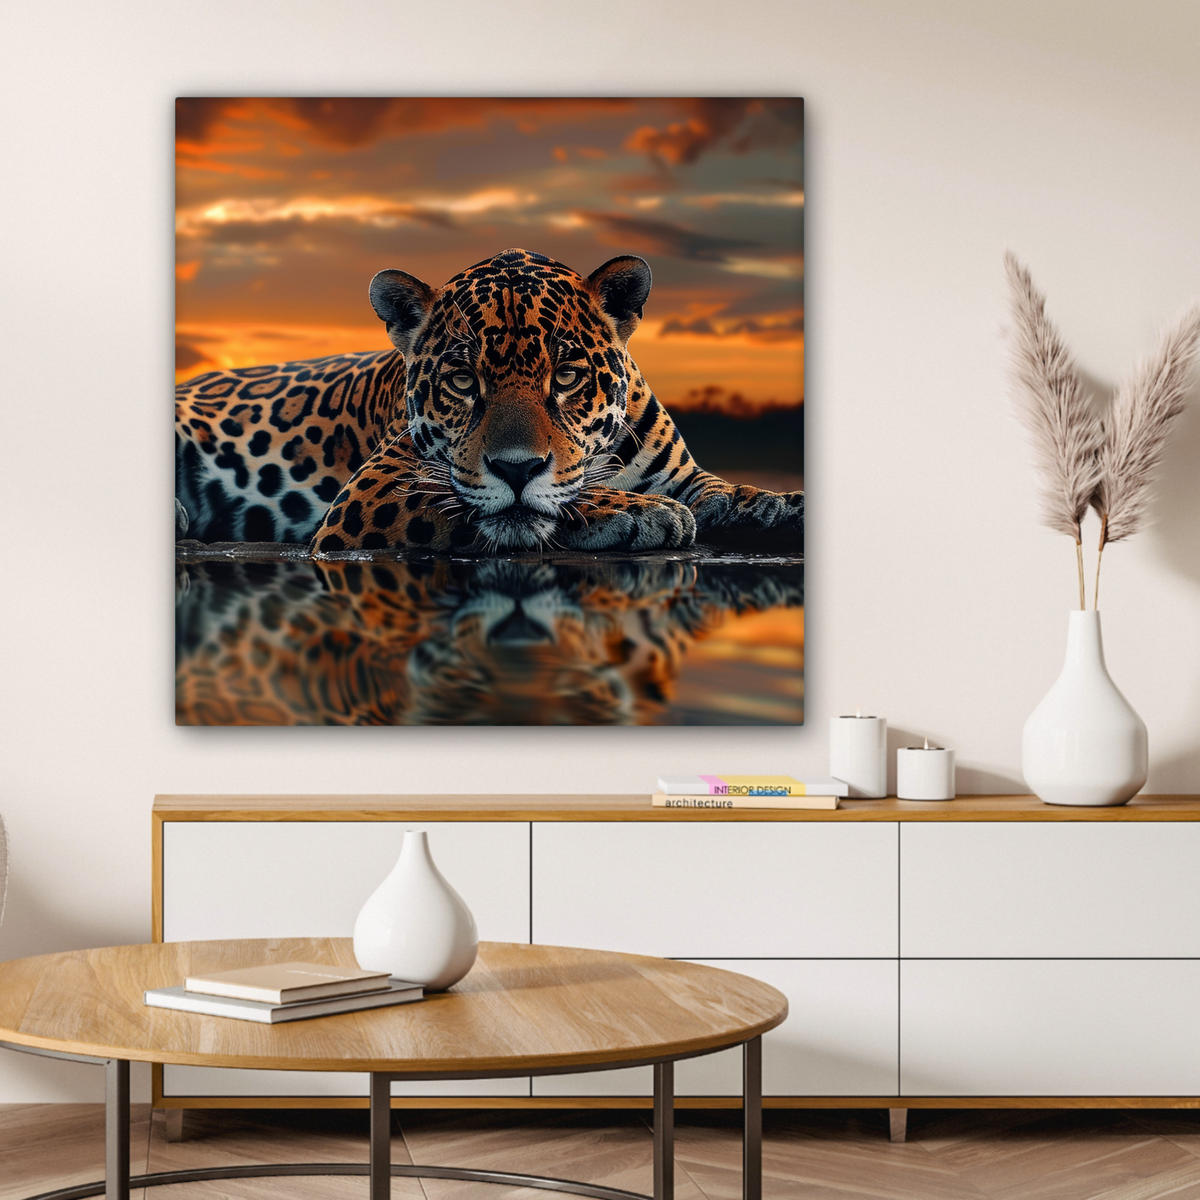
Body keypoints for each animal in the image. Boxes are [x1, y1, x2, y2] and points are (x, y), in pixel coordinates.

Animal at [175, 248, 804, 556]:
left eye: (566, 375)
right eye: (461, 380)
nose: (516, 469)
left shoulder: (686, 475)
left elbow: (727, 490)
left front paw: (781, 506)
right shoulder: (372, 491)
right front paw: (640, 512)